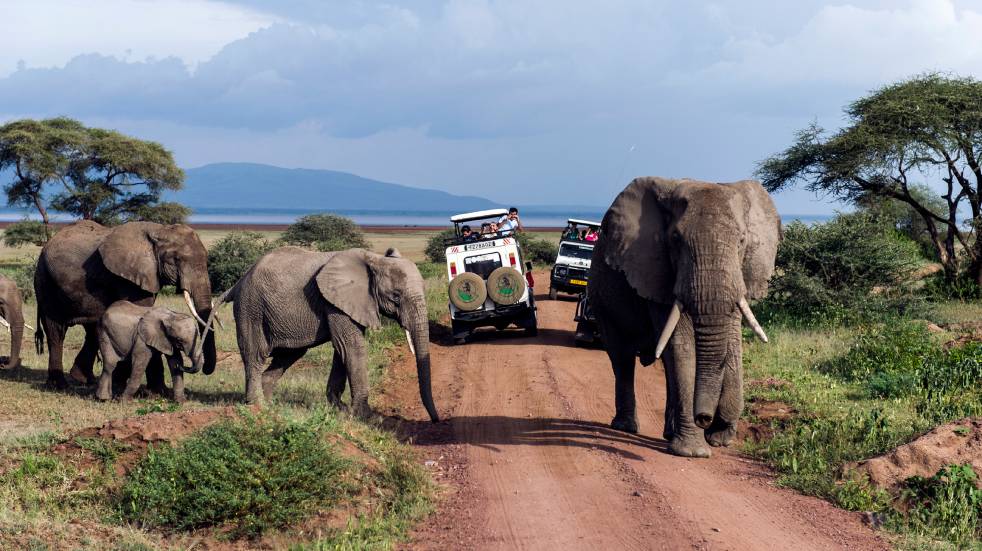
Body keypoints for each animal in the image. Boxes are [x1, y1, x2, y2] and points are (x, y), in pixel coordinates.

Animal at [35, 222, 217, 390]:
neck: (159, 230)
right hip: (45, 281)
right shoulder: (129, 277)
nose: (203, 369)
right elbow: (142, 312)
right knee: (55, 331)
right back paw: (59, 385)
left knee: (92, 330)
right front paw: (157, 391)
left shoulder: (148, 275)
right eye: (177, 260)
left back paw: (84, 379)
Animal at [206, 246, 440, 422]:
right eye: (396, 296)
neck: (374, 259)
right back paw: (258, 405)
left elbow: (342, 349)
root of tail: (238, 282)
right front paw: (366, 417)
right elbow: (351, 346)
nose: (435, 420)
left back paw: (270, 404)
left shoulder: (348, 303)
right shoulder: (335, 301)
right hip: (250, 307)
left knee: (288, 355)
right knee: (255, 354)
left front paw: (340, 409)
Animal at [588, 177, 780, 458]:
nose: (705, 418)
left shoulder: (738, 275)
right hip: (600, 297)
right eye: (676, 239)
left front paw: (720, 438)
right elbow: (682, 345)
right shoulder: (656, 271)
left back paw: (668, 432)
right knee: (622, 356)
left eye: (742, 240)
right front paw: (693, 452)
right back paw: (625, 427)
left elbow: (732, 342)